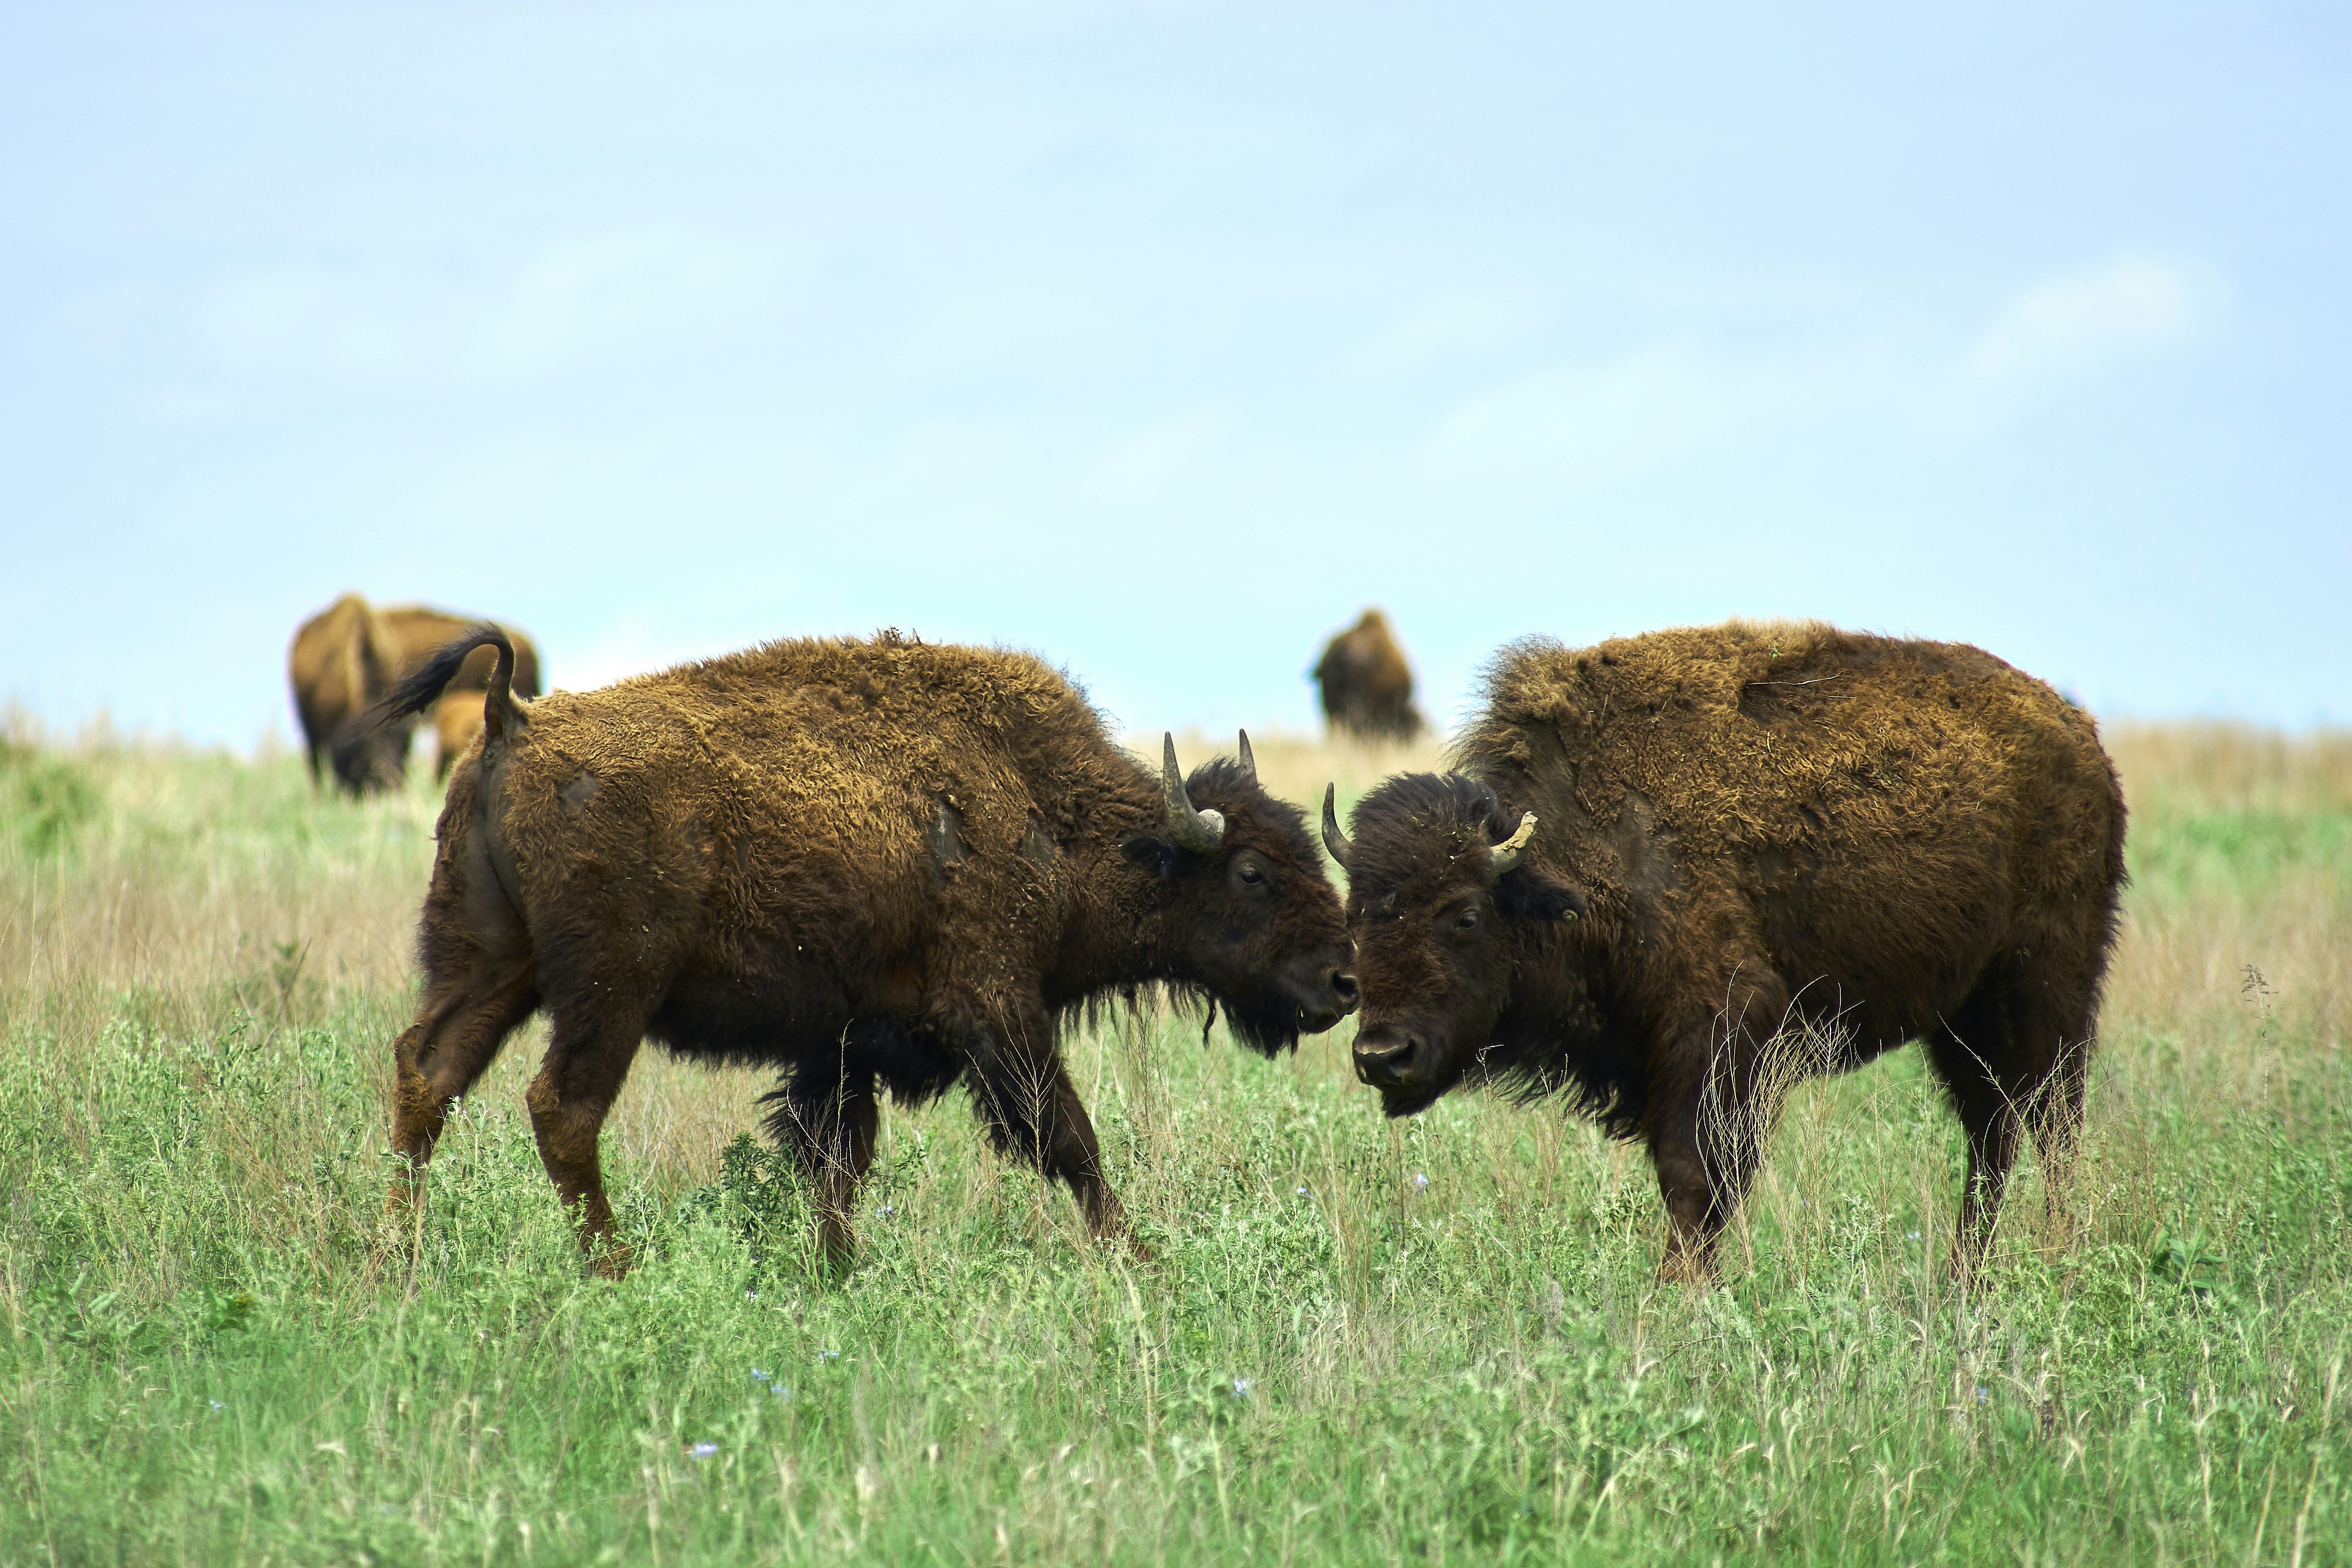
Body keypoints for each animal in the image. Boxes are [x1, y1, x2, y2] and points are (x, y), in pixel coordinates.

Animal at [376, 628, 1357, 1275]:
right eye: (1252, 873)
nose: (1344, 980)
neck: (1051, 814)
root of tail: (513, 721)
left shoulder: (841, 1046)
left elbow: (835, 1163)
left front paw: (836, 1271)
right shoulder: (997, 1009)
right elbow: (1069, 1139)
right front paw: (1141, 1258)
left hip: (488, 965)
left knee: (427, 1075)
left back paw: (395, 1261)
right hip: (609, 988)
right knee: (562, 1108)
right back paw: (614, 1269)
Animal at [1322, 621, 2126, 1283]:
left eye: (1463, 916)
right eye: (1354, 918)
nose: (1381, 1056)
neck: (1574, 853)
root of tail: (2080, 736)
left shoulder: (1719, 1033)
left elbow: (1693, 1177)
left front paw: (1678, 1296)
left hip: (2046, 985)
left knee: (2053, 1122)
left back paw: (2051, 1258)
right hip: (1959, 1017)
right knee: (1993, 1132)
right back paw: (1965, 1276)